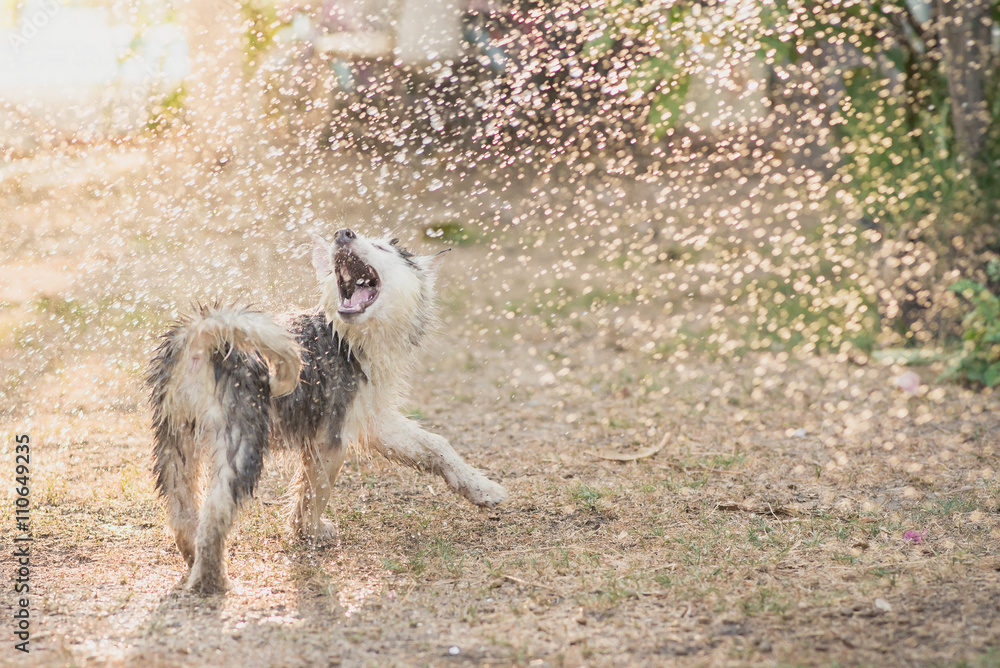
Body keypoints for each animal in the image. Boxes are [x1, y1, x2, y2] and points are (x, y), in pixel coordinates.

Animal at [146, 230, 508, 596]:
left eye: (380, 247)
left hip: (176, 437)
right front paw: (310, 533)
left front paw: (481, 488)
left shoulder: (373, 419)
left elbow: (435, 445)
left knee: (181, 507)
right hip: (242, 438)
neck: (346, 336)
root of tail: (204, 335)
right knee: (216, 510)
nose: (343, 233)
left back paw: (192, 556)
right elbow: (315, 492)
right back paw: (211, 580)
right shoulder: (330, 437)